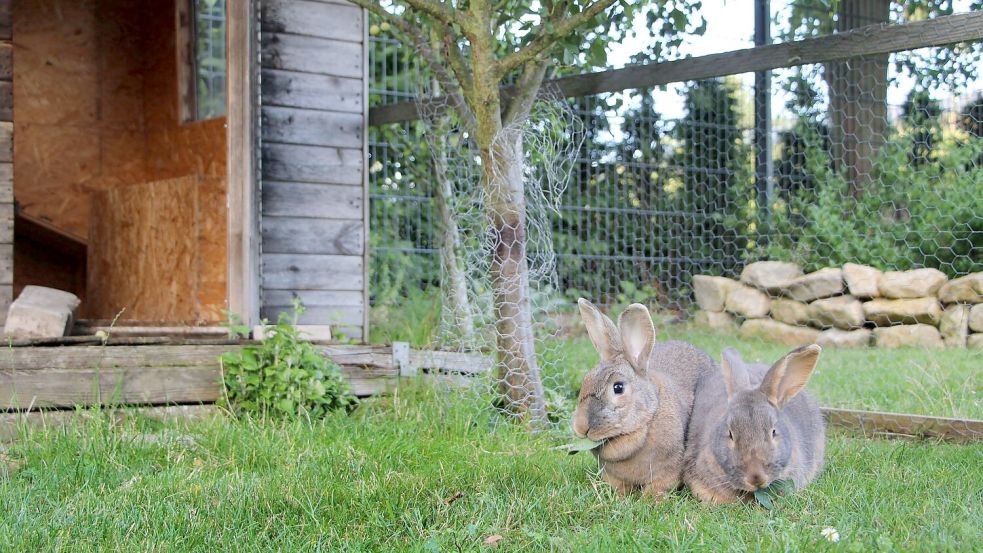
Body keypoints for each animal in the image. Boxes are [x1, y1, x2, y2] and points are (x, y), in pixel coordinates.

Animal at [572, 298, 716, 498]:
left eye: (618, 387)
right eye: (586, 380)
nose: (581, 426)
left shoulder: (667, 471)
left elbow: (657, 488)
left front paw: (650, 501)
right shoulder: (612, 475)